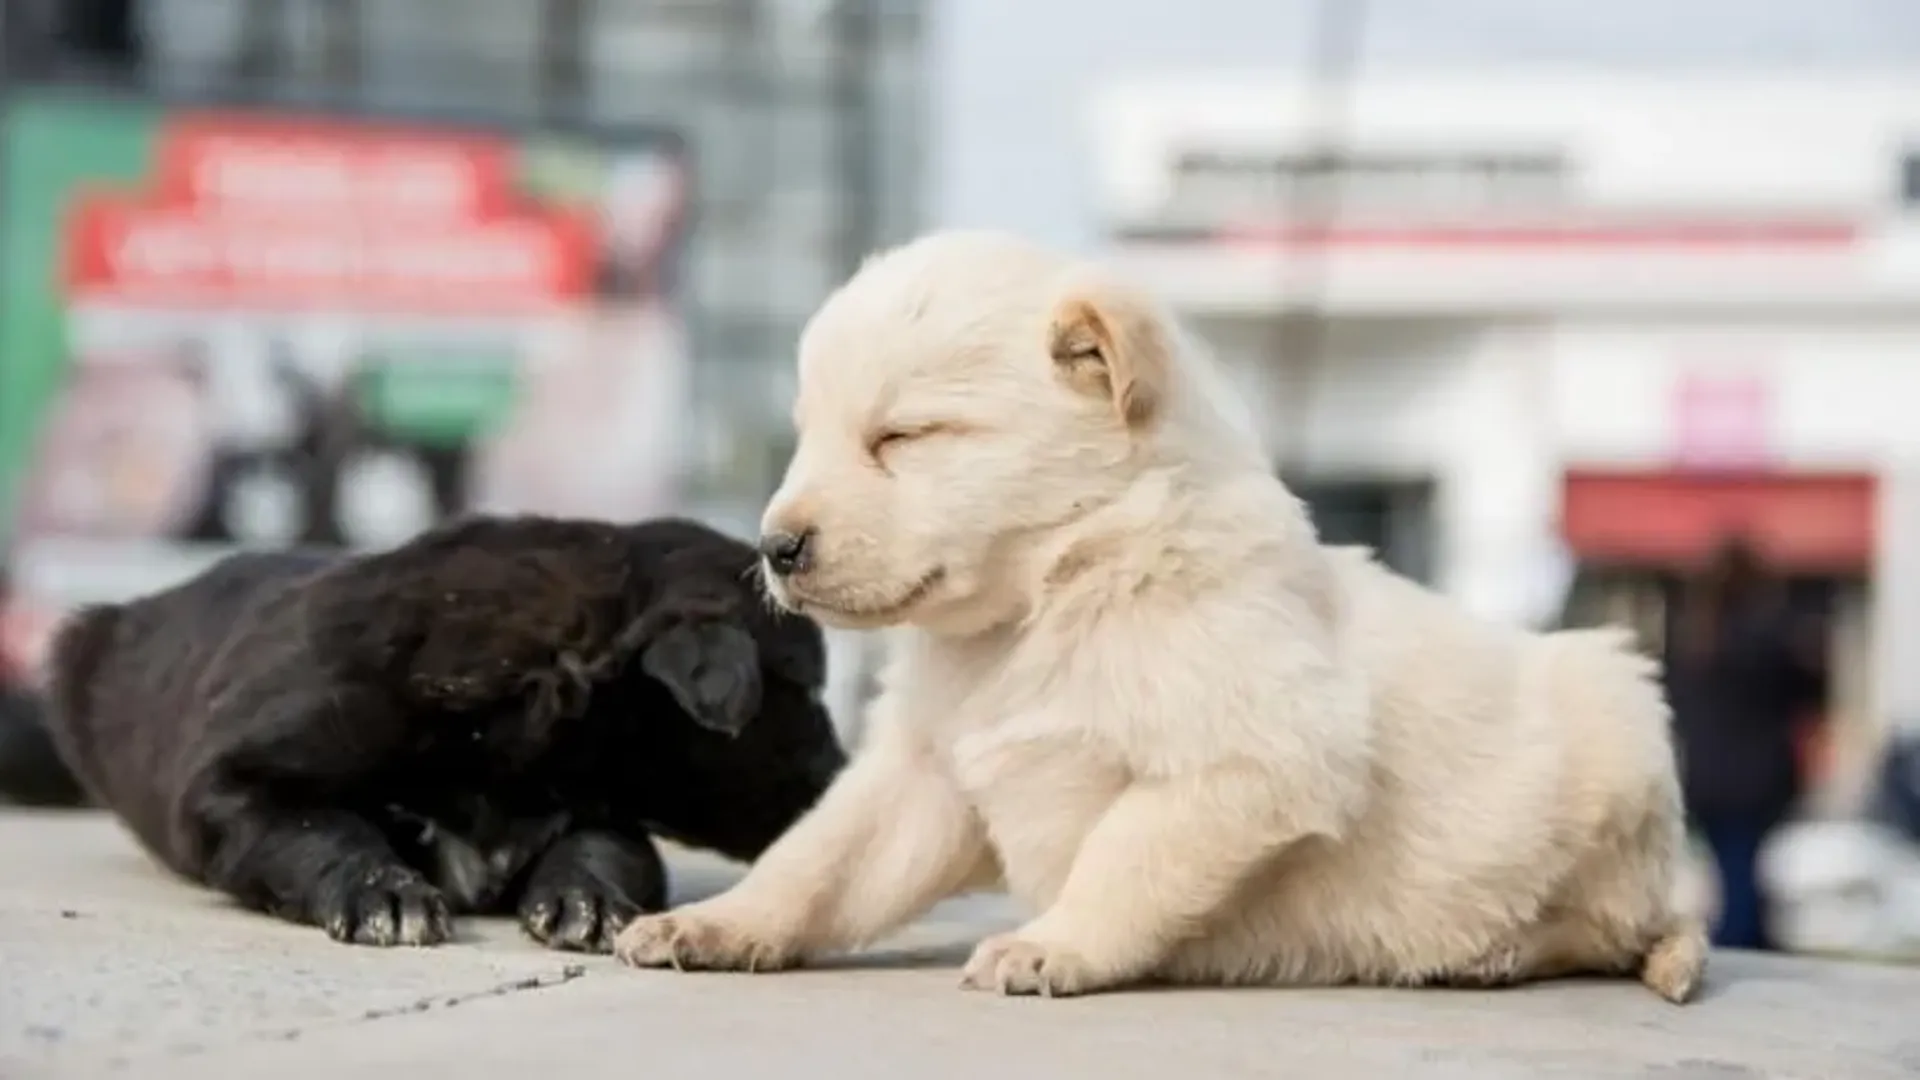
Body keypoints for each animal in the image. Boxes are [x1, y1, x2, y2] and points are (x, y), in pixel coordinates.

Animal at [39, 518, 840, 945]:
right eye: (804, 690)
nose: (841, 772)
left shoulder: (606, 811)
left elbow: (606, 847)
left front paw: (585, 903)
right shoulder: (233, 784)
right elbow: (320, 827)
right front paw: (383, 895)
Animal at [614, 228, 1712, 999]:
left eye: (905, 436)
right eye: (810, 435)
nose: (776, 547)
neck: (1054, 593)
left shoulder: (1252, 760)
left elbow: (1124, 856)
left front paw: (1053, 946)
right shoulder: (923, 774)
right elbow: (820, 860)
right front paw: (722, 924)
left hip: (1619, 721)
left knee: (1618, 927)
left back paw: (1500, 950)